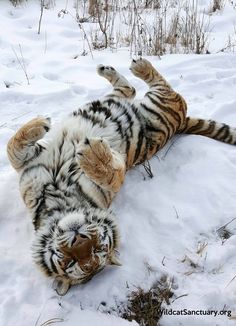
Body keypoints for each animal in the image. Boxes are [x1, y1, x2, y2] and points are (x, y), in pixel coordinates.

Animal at [6, 58, 236, 296]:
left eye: (97, 248)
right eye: (71, 261)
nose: (78, 235)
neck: (59, 202)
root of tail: (182, 122)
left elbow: (113, 172)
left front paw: (84, 148)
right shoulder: (28, 169)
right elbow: (12, 149)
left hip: (157, 109)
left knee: (155, 89)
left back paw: (134, 66)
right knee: (133, 90)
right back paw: (117, 70)